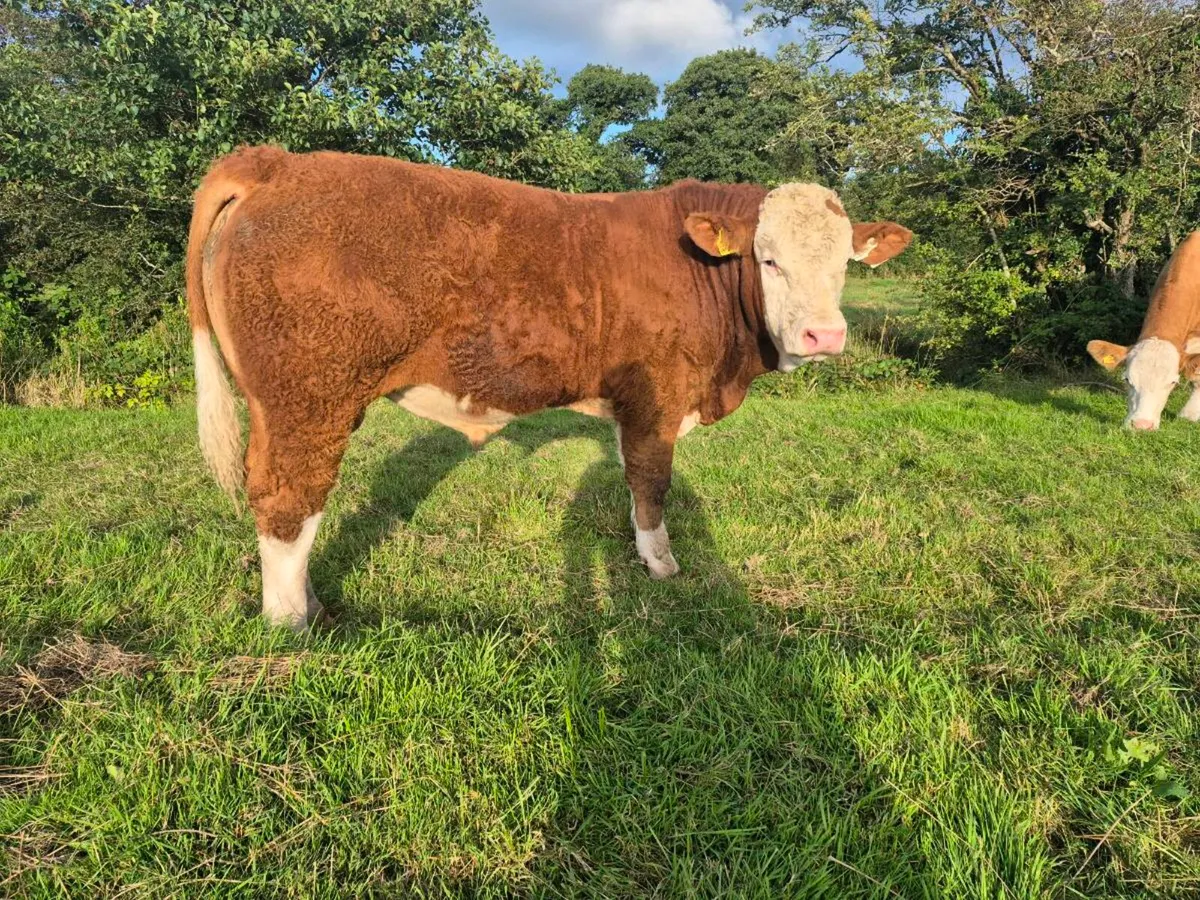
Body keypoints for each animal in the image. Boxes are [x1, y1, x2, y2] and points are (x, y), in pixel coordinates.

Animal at [187, 147, 913, 630]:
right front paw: (661, 566)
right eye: (769, 259)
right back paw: (292, 622)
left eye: (845, 264)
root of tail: (279, 162)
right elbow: (651, 480)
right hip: (307, 395)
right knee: (288, 497)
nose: (824, 335)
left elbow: (628, 474)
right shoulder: (657, 391)